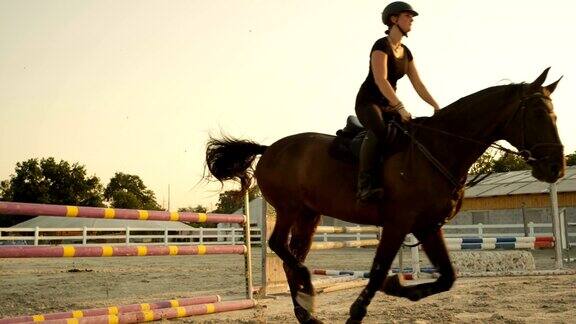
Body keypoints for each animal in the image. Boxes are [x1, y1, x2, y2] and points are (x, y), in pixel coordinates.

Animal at [205, 67, 564, 322]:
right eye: (536, 115)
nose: (556, 168)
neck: (438, 148)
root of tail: (269, 149)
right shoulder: (398, 224)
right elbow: (378, 272)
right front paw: (359, 311)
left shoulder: (426, 226)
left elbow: (447, 277)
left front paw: (399, 286)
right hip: (289, 208)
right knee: (280, 246)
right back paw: (308, 292)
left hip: (309, 214)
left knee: (293, 255)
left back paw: (307, 308)